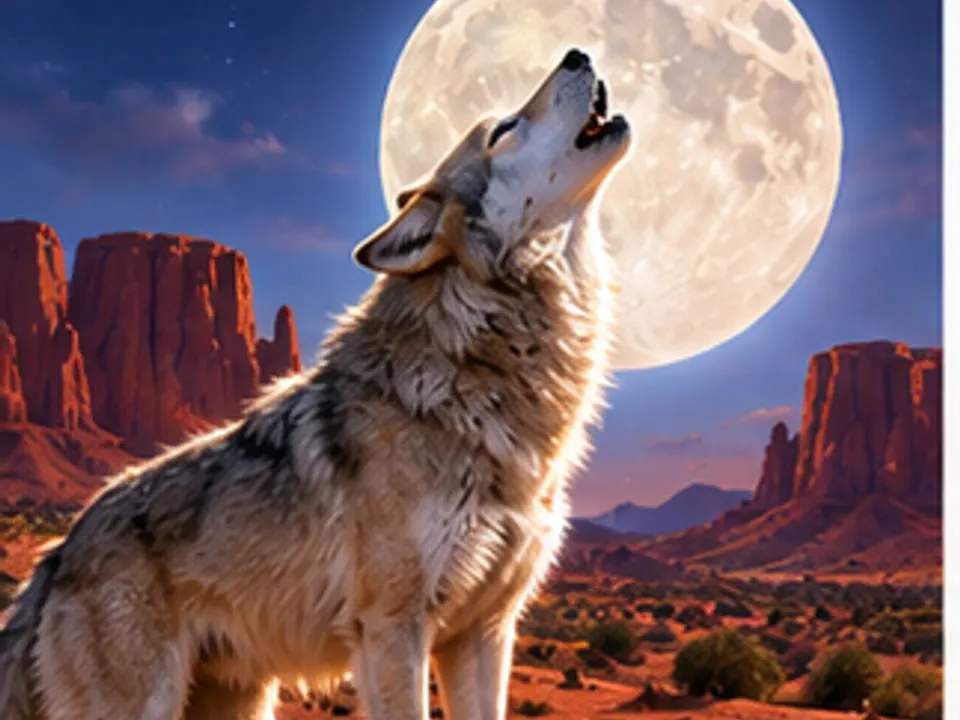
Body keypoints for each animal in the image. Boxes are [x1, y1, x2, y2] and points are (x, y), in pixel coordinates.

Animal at [0, 47, 631, 719]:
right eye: (504, 129)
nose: (577, 53)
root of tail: (55, 555)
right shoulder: (392, 629)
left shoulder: (483, 634)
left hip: (240, 699)